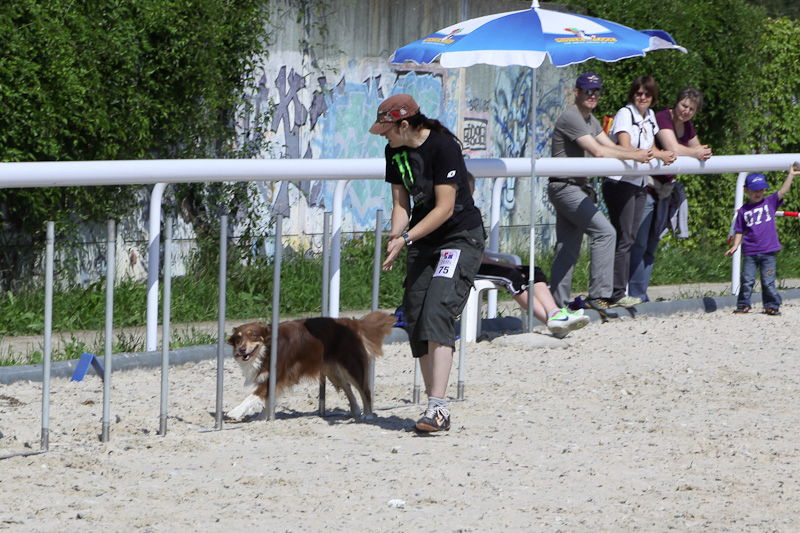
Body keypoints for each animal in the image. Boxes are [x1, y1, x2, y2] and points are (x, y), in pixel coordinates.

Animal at [225, 311, 396, 421]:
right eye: (238, 339)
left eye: (253, 336)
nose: (241, 350)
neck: (266, 350)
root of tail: (352, 322)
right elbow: (267, 399)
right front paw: (263, 418)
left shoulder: (277, 375)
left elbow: (253, 395)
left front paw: (236, 412)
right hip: (333, 371)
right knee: (348, 389)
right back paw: (355, 411)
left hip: (351, 366)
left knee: (364, 390)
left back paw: (368, 415)